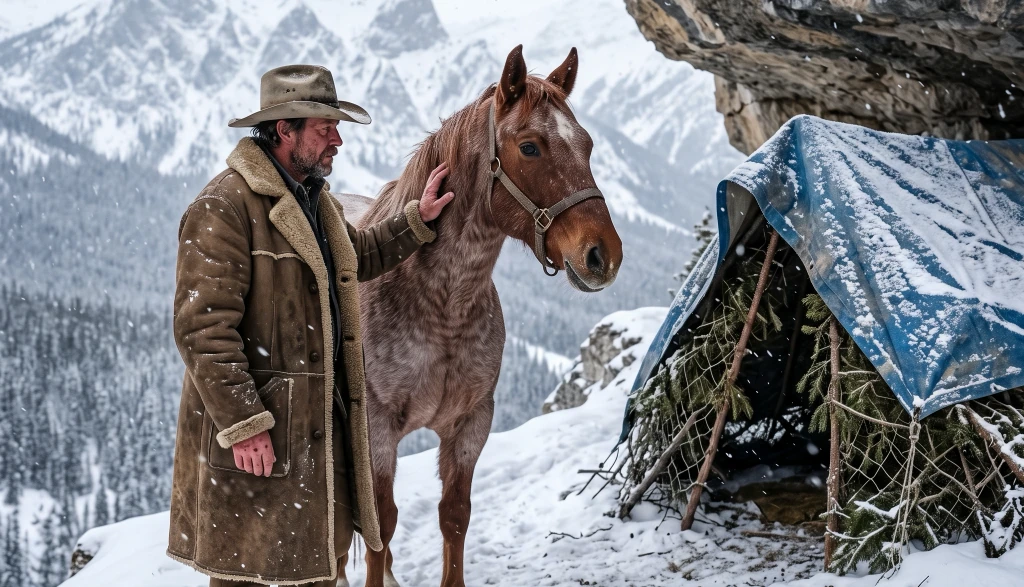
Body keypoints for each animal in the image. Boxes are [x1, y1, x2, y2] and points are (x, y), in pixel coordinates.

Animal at [354, 45, 622, 587]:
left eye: (586, 144)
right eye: (530, 147)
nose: (603, 254)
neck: (442, 308)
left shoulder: (471, 424)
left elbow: (455, 516)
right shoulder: (378, 430)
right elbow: (381, 526)